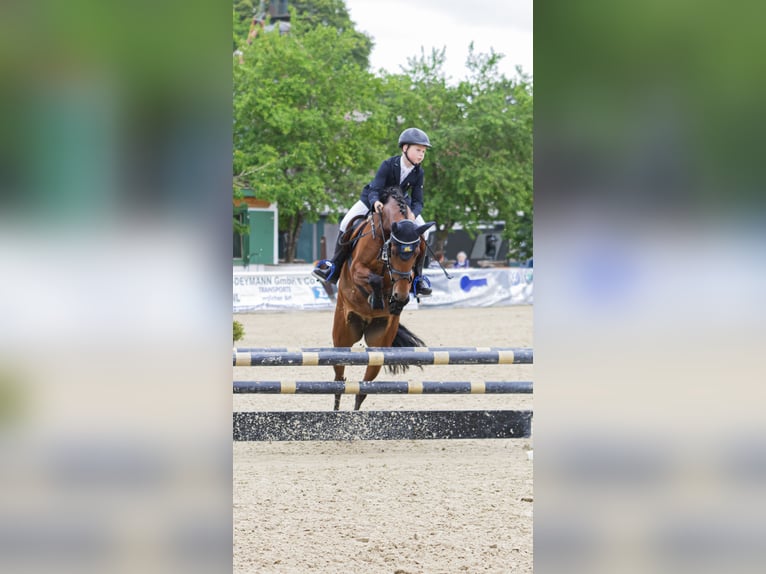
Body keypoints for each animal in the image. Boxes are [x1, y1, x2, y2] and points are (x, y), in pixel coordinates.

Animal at [332, 187, 436, 412]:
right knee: (338, 380)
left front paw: (395, 303)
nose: (401, 297)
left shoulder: (405, 278)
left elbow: (394, 281)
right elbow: (374, 278)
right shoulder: (357, 269)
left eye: (417, 253)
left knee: (363, 387)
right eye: (394, 251)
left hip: (379, 343)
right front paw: (377, 300)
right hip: (343, 336)